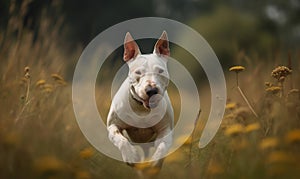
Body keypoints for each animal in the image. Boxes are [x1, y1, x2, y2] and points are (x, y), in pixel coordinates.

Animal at [107, 31, 173, 173]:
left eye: (160, 71)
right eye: (138, 72)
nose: (151, 90)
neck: (142, 109)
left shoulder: (165, 130)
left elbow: (163, 146)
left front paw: (155, 162)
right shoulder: (112, 125)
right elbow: (121, 139)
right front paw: (131, 155)